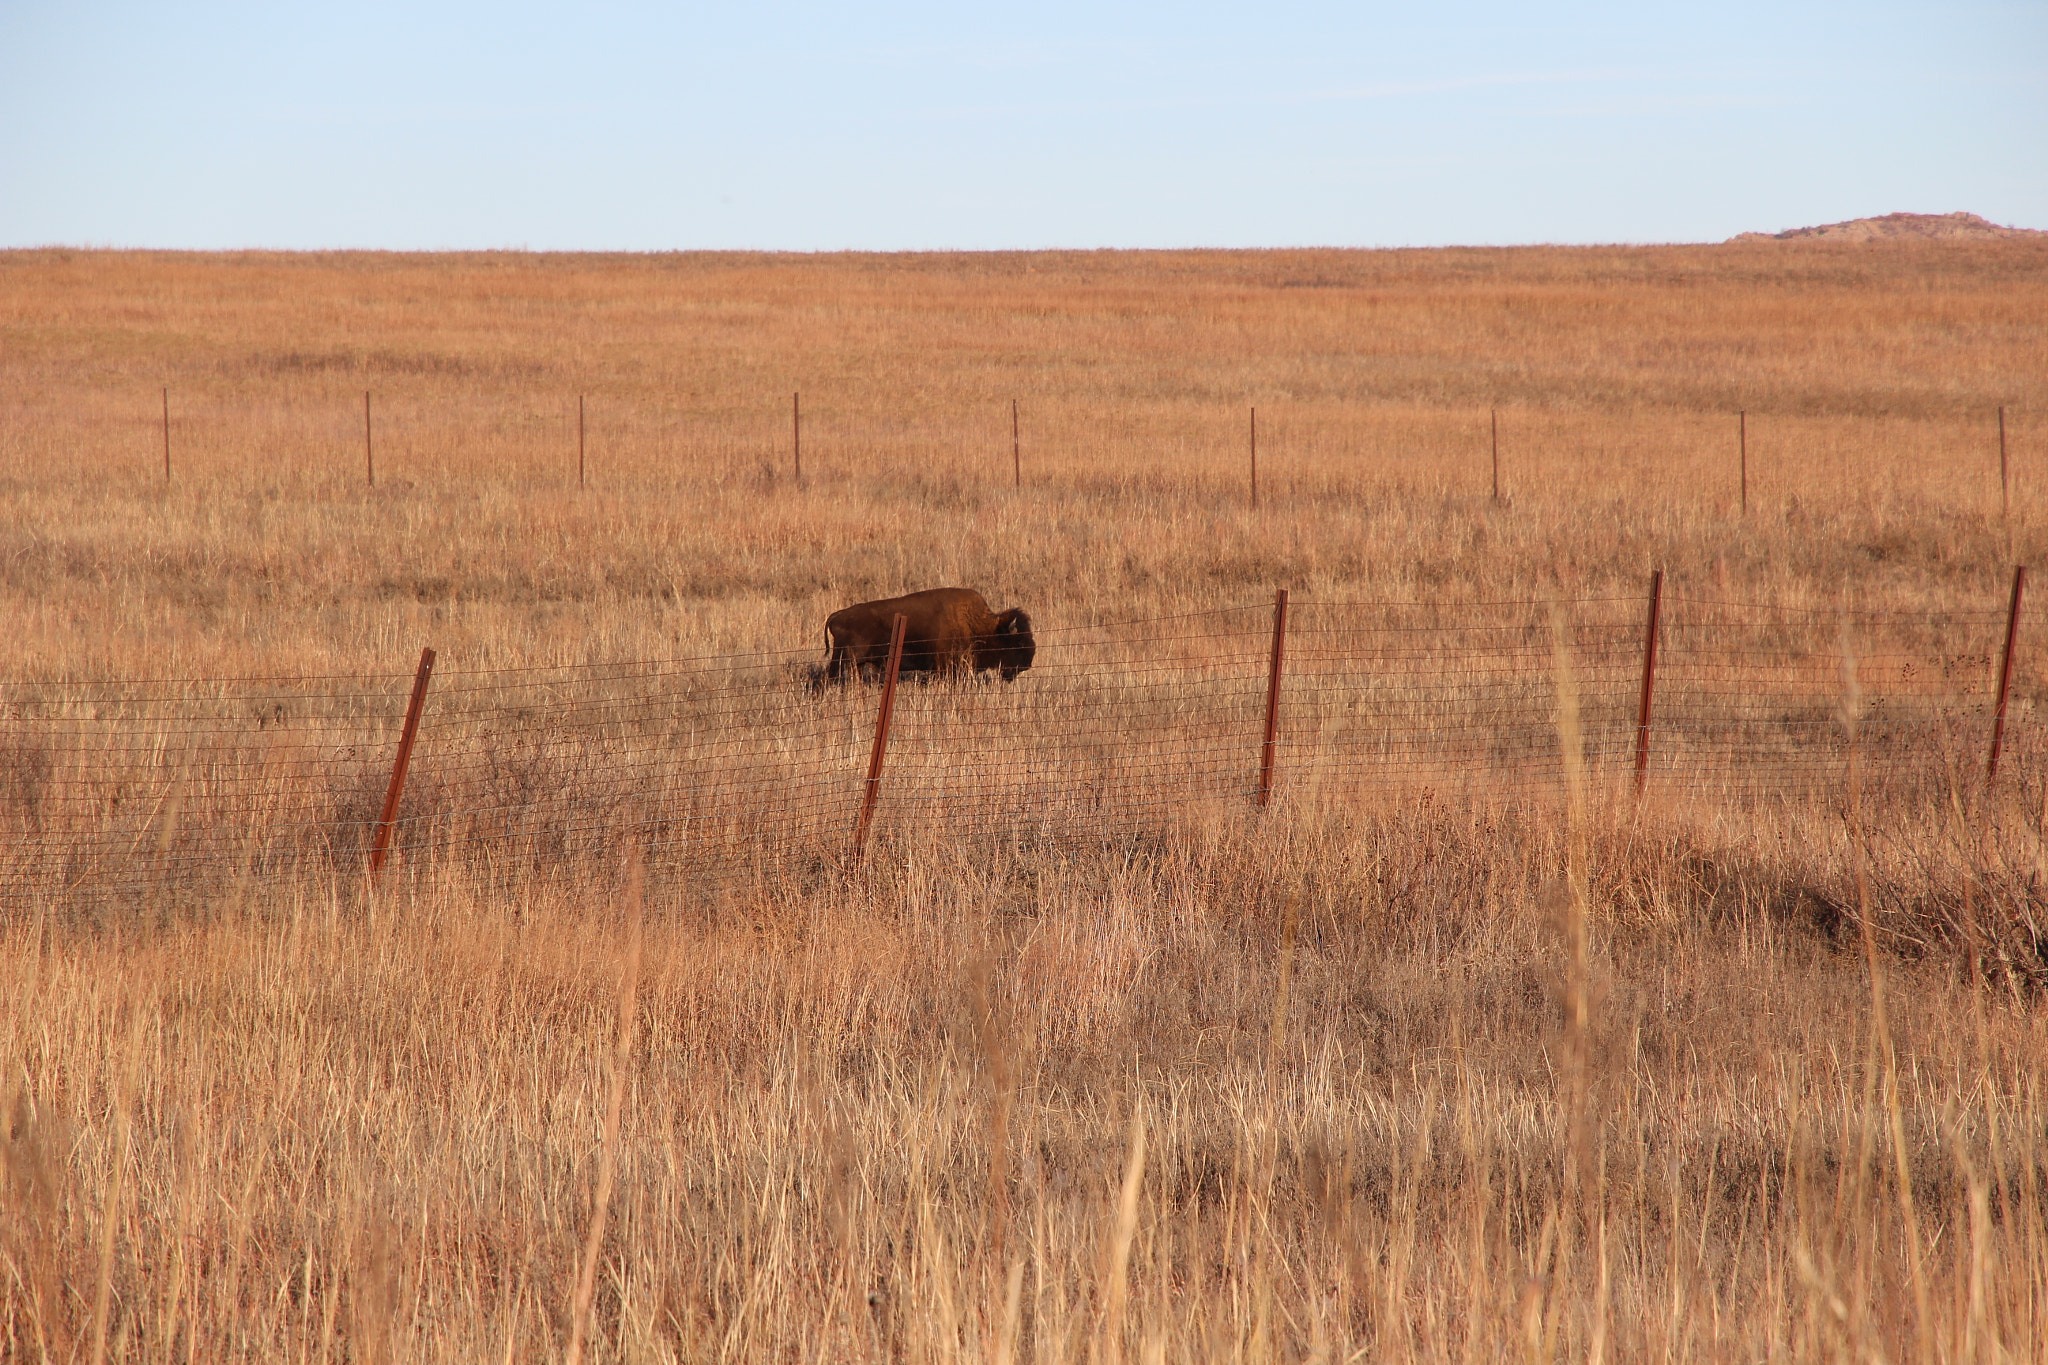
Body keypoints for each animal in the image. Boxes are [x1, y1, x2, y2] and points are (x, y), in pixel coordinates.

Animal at [811, 587, 1036, 687]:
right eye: (1019, 642)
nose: (1027, 665)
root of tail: (838, 615)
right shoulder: (946, 668)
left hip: (856, 663)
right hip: (844, 659)